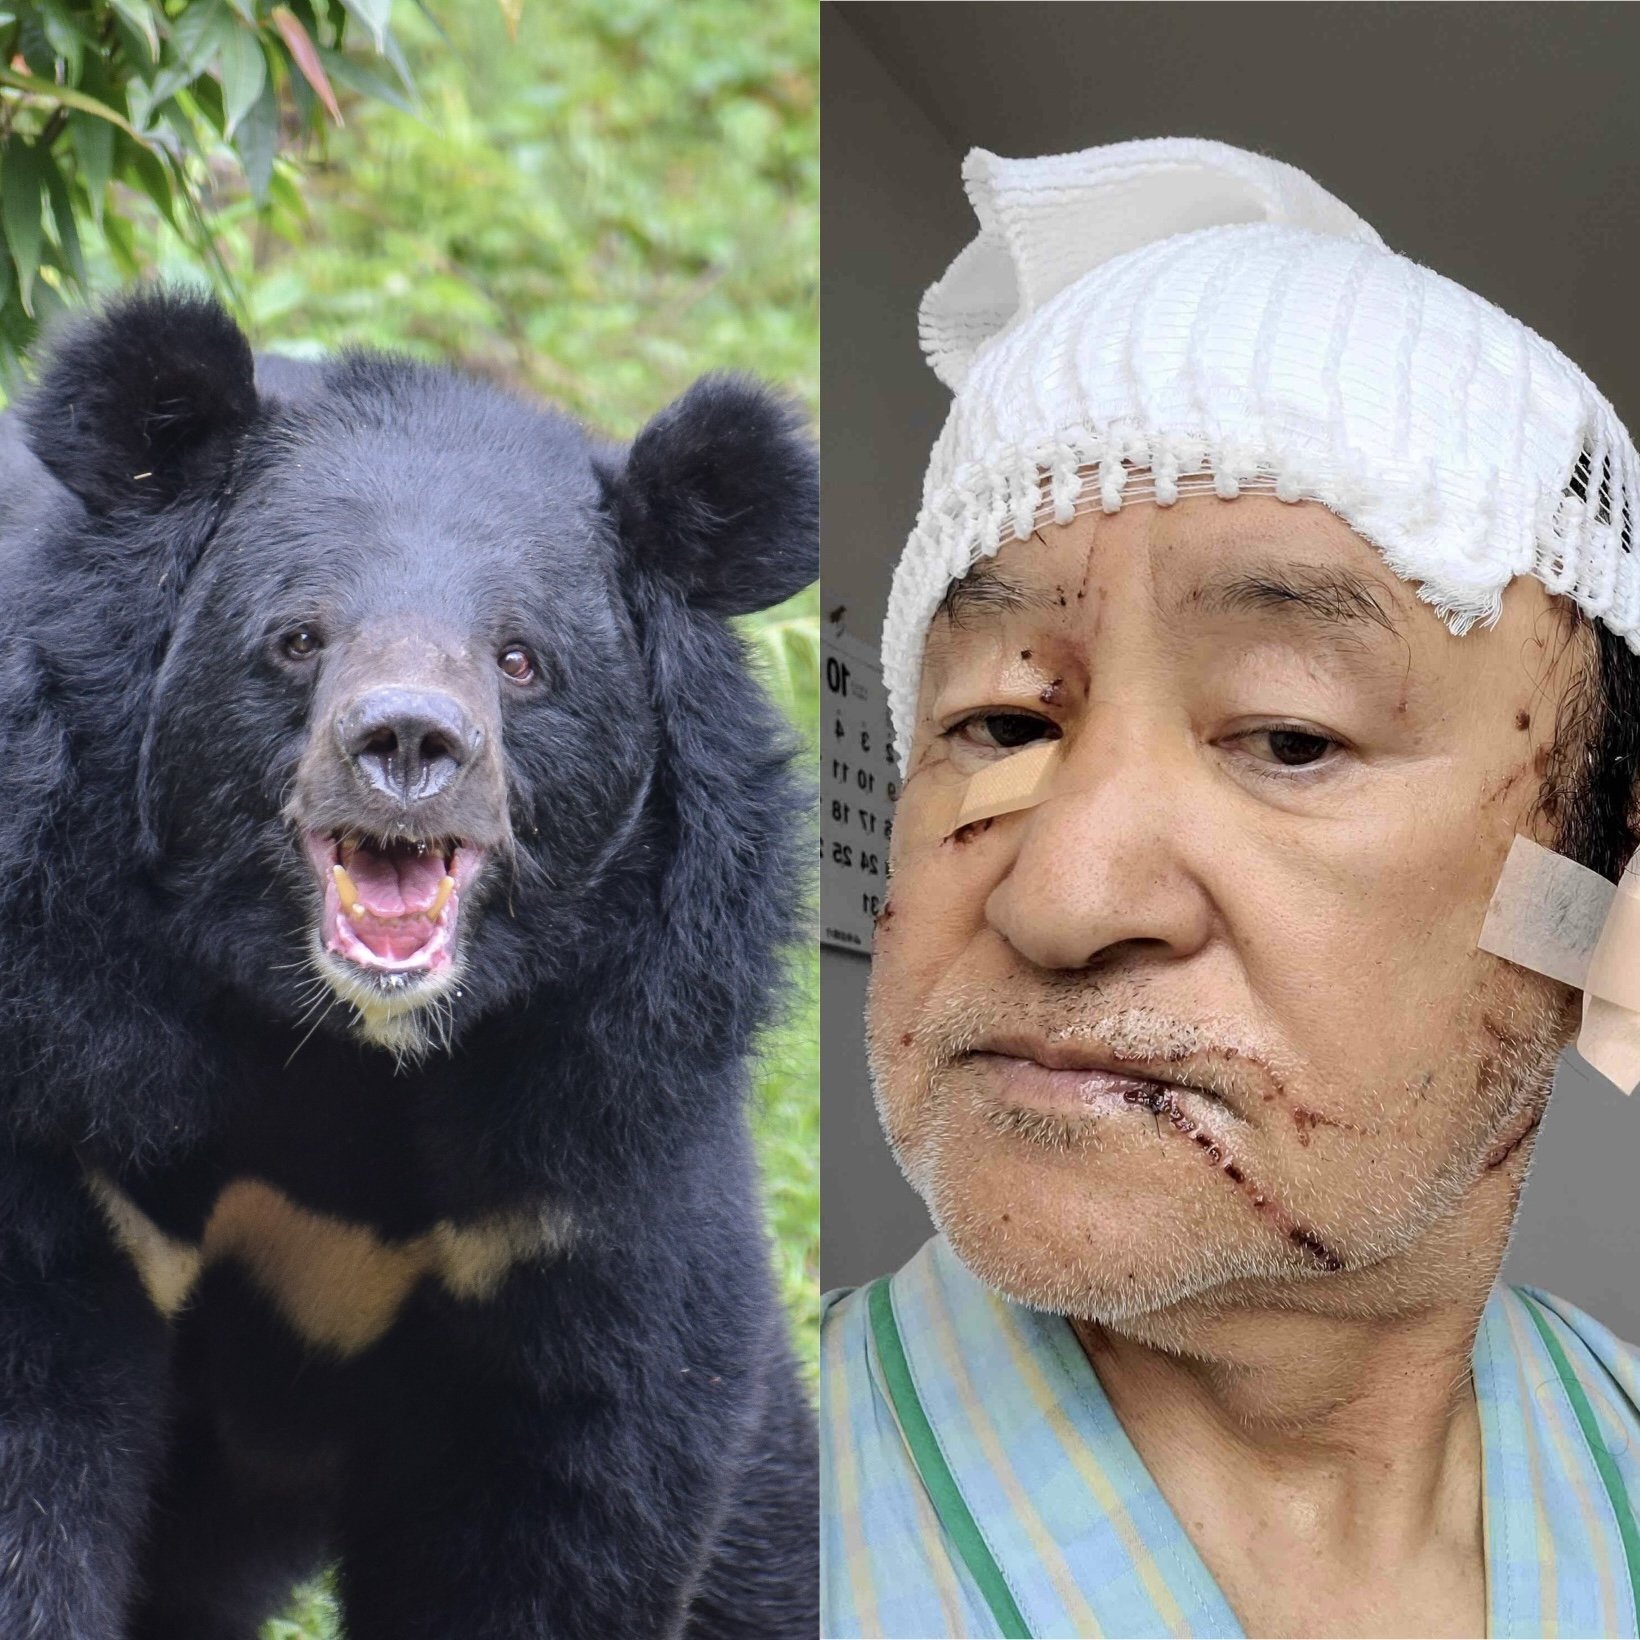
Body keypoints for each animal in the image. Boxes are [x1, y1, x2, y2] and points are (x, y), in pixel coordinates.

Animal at [0, 287, 818, 1640]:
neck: (342, 1049)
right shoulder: (75, 1089)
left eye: (520, 658)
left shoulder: (582, 1171)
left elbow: (567, 1503)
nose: (406, 744)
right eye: (296, 636)